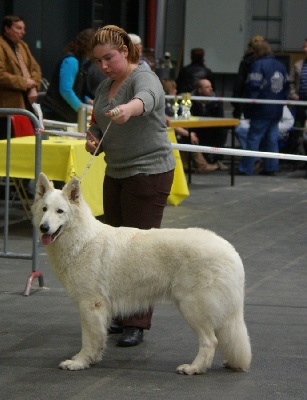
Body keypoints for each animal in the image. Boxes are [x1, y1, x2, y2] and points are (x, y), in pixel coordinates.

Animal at [31, 173, 253, 376]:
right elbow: (97, 338)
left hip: (192, 307)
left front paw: (79, 362)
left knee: (210, 341)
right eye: (44, 209)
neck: (81, 239)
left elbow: (88, 339)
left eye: (60, 211)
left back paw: (194, 368)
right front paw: (91, 358)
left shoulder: (90, 305)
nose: (44, 228)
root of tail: (231, 251)